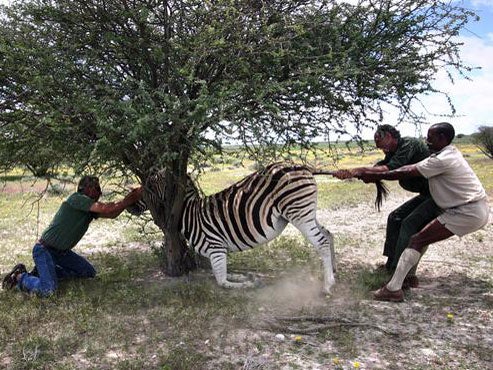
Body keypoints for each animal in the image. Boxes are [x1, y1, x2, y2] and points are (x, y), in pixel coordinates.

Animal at [131, 163, 388, 294]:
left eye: (146, 187)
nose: (131, 207)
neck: (190, 213)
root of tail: (303, 166)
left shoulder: (215, 248)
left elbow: (221, 281)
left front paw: (247, 283)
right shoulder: (217, 252)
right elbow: (221, 274)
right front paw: (242, 276)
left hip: (299, 213)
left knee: (322, 241)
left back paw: (327, 285)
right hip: (306, 213)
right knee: (329, 234)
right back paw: (333, 272)